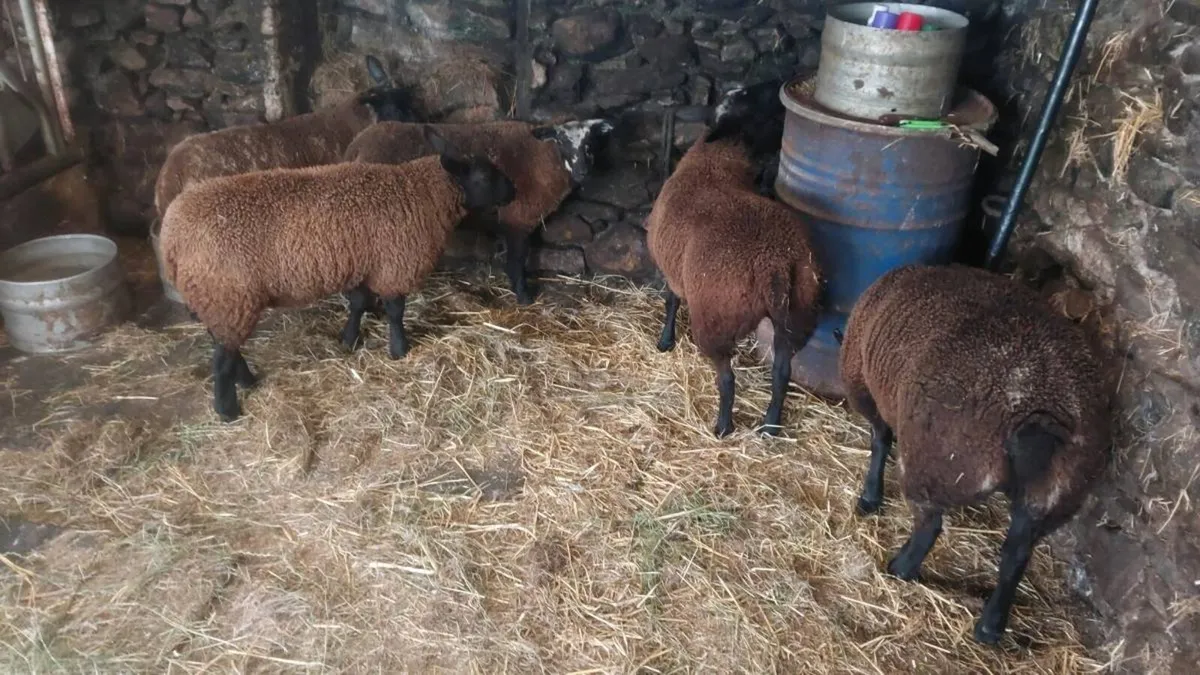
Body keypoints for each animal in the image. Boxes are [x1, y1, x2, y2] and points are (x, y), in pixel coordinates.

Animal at [160, 126, 516, 423]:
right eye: (484, 176)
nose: (513, 190)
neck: (422, 194)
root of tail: (171, 238)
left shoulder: (363, 262)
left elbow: (358, 304)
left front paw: (349, 339)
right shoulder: (394, 264)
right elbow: (395, 311)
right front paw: (399, 350)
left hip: (218, 298)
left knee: (224, 344)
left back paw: (247, 380)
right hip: (228, 294)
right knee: (221, 358)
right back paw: (228, 409)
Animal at [341, 117, 613, 310]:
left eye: (589, 144)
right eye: (562, 142)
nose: (583, 171)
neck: (542, 158)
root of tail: (357, 145)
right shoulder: (518, 217)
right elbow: (516, 261)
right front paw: (523, 297)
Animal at [646, 80, 822, 438]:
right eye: (753, 101)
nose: (778, 86)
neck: (715, 160)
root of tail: (774, 264)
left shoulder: (673, 269)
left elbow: (671, 300)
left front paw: (665, 341)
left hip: (716, 319)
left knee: (727, 379)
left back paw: (723, 426)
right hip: (800, 310)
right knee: (782, 371)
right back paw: (770, 425)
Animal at [836, 263, 1112, 645]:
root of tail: (1039, 415)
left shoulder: (862, 385)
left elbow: (880, 440)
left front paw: (869, 499)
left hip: (941, 465)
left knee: (929, 526)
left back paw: (900, 569)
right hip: (1055, 494)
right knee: (1015, 555)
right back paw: (990, 627)